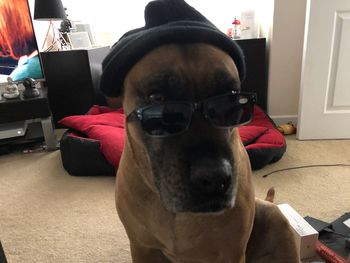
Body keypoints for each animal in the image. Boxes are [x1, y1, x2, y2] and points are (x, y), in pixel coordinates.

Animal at [114, 43, 298, 263]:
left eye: (231, 100)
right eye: (157, 98)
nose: (215, 178)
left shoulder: (232, 253)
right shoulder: (142, 248)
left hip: (273, 217)